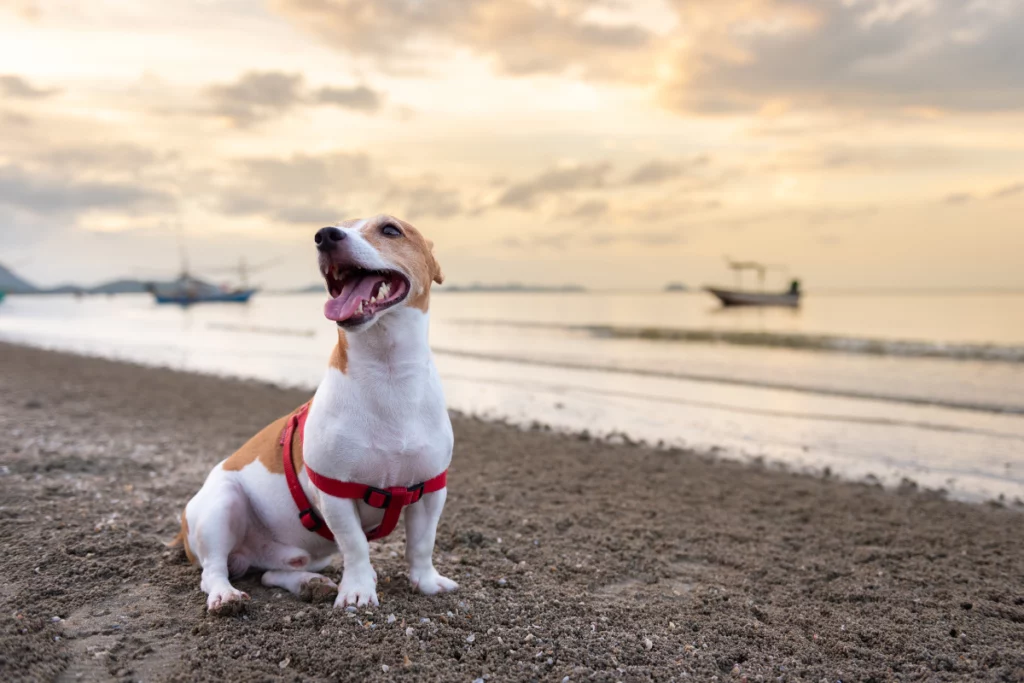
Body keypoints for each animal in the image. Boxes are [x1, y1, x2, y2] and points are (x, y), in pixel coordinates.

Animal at [176, 216, 456, 618]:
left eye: (390, 229)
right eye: (338, 225)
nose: (325, 236)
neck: (388, 374)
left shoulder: (430, 489)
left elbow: (421, 544)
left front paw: (427, 582)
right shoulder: (335, 493)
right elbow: (355, 545)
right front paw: (358, 591)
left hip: (298, 554)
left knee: (270, 574)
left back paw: (309, 583)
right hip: (221, 507)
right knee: (213, 570)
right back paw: (226, 596)